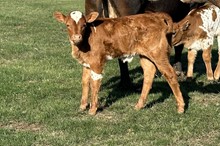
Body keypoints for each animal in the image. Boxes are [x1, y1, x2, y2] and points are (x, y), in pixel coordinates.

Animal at [54, 10, 185, 115]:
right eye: (67, 25)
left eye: (84, 25)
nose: (77, 37)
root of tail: (157, 15)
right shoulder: (87, 63)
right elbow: (85, 82)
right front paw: (82, 107)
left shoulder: (96, 62)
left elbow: (94, 84)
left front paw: (92, 110)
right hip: (146, 55)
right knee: (149, 74)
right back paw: (139, 105)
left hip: (159, 54)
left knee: (170, 74)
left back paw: (181, 107)